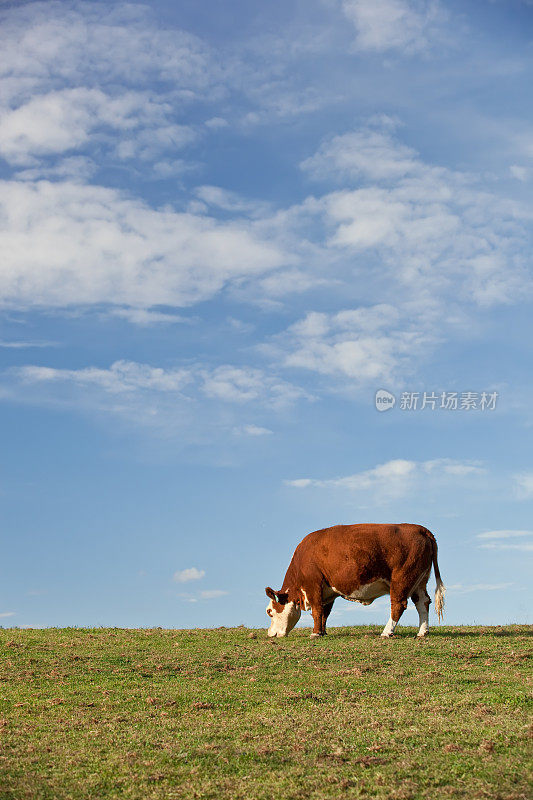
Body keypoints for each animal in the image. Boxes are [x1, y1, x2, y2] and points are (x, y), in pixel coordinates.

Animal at [266, 520, 444, 640]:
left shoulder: (313, 584)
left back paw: (386, 632)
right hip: (419, 580)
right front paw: (322, 632)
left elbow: (317, 610)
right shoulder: (327, 589)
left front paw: (315, 633)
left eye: (270, 612)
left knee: (398, 605)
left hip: (402, 578)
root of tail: (420, 529)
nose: (270, 634)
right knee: (423, 602)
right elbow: (325, 613)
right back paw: (422, 632)